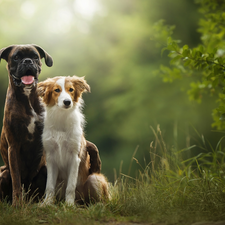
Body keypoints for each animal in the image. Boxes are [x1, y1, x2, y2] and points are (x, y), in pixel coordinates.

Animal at [37, 76, 109, 206]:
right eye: (56, 90)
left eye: (71, 89)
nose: (67, 102)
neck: (62, 118)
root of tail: (81, 201)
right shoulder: (51, 158)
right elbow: (49, 186)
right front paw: (47, 203)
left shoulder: (74, 157)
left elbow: (70, 186)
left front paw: (69, 205)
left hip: (94, 178)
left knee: (101, 200)